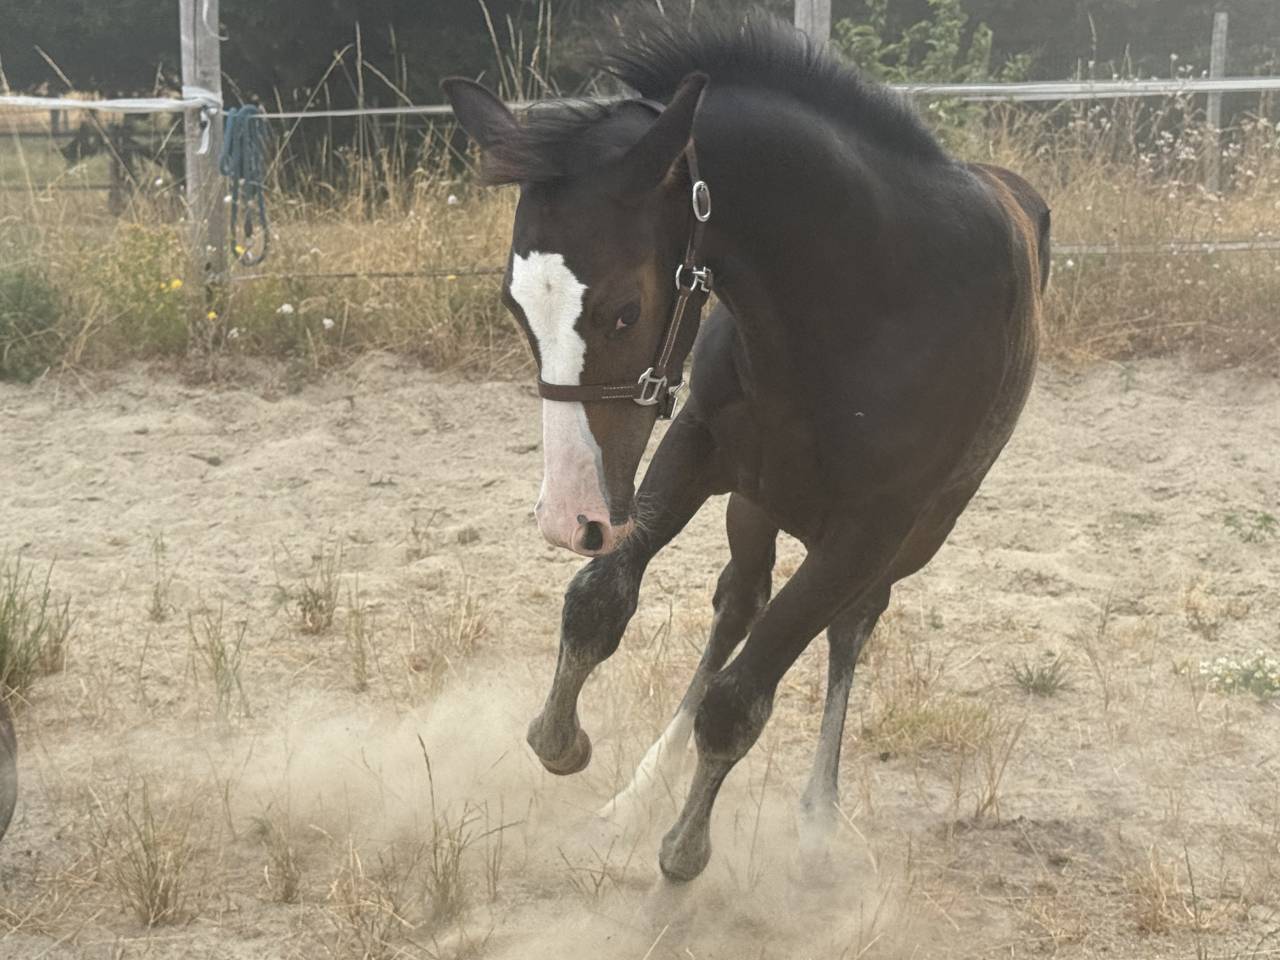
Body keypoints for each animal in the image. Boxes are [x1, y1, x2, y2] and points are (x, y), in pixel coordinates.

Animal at [443, 11, 1050, 882]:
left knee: (849, 626)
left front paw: (684, 855)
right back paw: (636, 795)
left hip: (908, 540)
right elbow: (599, 600)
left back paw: (819, 818)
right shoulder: (696, 445)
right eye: (514, 305)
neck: (867, 299)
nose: (568, 518)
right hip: (756, 505)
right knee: (739, 601)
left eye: (626, 309)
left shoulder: (871, 529)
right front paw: (563, 745)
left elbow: (740, 699)